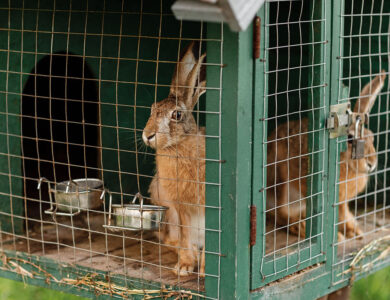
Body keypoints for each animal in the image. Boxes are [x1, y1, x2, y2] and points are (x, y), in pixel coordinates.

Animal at [142, 42, 206, 276]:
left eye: (176, 115)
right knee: (171, 239)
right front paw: (185, 266)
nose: (148, 135)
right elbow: (186, 235)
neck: (176, 147)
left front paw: (204, 270)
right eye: (152, 109)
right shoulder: (181, 210)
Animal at [266, 71, 386, 239]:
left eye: (372, 137)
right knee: (280, 213)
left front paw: (352, 230)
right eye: (350, 139)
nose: (371, 163)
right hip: (280, 183)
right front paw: (338, 235)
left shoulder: (341, 201)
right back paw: (299, 226)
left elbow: (343, 211)